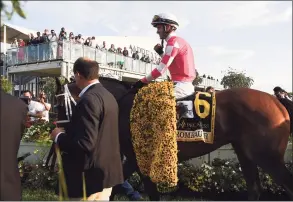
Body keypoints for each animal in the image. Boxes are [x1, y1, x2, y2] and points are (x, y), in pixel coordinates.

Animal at [49, 76, 292, 201]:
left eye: (58, 101)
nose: (58, 127)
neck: (124, 106)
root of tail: (277, 102)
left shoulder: (140, 157)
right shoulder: (132, 157)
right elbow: (119, 183)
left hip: (267, 156)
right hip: (245, 152)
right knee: (255, 188)